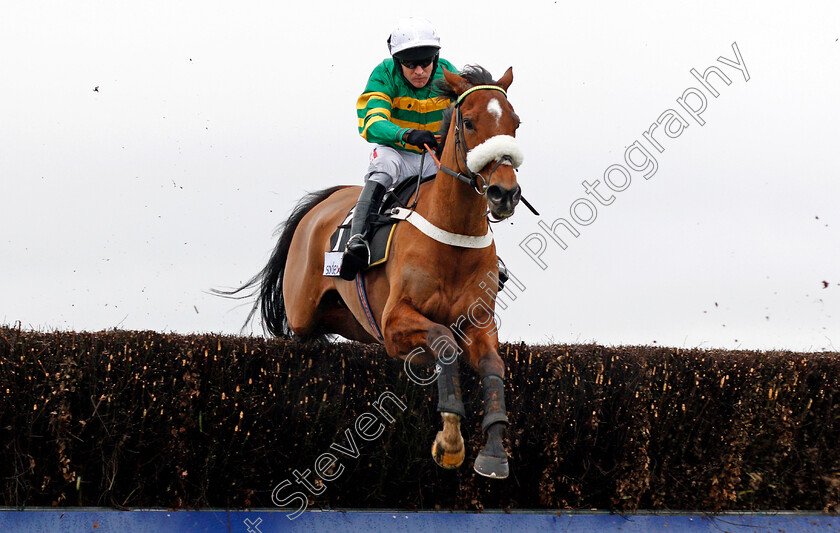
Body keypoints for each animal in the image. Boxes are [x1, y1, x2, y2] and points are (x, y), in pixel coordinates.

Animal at [235, 66, 520, 478]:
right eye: (468, 122)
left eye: (515, 122)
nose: (504, 193)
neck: (453, 234)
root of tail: (326, 200)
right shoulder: (395, 322)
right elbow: (443, 342)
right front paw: (450, 440)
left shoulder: (478, 320)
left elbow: (492, 366)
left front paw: (494, 451)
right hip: (304, 311)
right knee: (304, 328)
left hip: (355, 321)